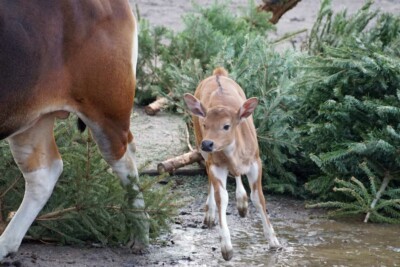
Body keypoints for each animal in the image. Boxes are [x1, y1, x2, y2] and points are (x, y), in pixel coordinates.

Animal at [184, 67, 280, 262]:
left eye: (226, 126)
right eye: (205, 124)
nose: (208, 143)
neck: (234, 154)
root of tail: (218, 74)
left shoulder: (256, 162)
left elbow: (259, 198)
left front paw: (274, 241)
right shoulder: (216, 165)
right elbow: (222, 198)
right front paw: (226, 249)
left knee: (236, 175)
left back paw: (242, 203)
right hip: (201, 148)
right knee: (209, 175)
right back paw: (210, 214)